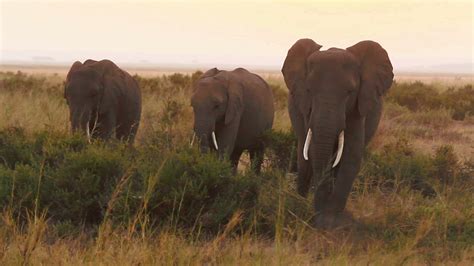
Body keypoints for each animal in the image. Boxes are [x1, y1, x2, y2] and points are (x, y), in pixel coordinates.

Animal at [282, 38, 392, 228]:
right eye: (309, 90)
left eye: (349, 92)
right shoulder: (307, 108)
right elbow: (314, 152)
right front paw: (321, 218)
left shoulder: (358, 107)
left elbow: (351, 155)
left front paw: (331, 220)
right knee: (303, 158)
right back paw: (299, 201)